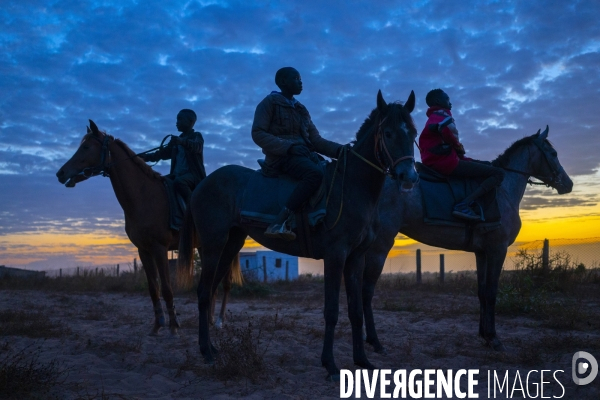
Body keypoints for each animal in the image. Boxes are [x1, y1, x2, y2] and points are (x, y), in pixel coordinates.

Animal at [55, 121, 241, 334]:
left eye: (86, 147)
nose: (61, 173)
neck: (143, 196)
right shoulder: (143, 250)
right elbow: (153, 288)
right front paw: (158, 324)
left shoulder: (159, 249)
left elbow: (167, 288)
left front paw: (174, 326)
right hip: (204, 247)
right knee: (213, 285)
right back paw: (209, 320)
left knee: (226, 282)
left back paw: (218, 321)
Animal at [178, 90, 420, 378]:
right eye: (389, 134)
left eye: (413, 133)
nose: (409, 177)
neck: (351, 187)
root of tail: (202, 184)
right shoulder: (335, 255)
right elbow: (332, 311)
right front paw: (330, 364)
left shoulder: (355, 258)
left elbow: (356, 311)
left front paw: (362, 360)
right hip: (213, 245)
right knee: (204, 292)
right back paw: (205, 351)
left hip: (230, 244)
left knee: (211, 290)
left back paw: (212, 348)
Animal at [360, 126, 572, 354]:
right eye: (553, 154)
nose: (568, 184)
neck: (503, 190)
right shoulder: (497, 250)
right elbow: (491, 293)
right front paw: (493, 338)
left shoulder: (482, 252)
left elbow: (481, 292)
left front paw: (484, 335)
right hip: (380, 245)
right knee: (366, 289)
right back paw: (374, 341)